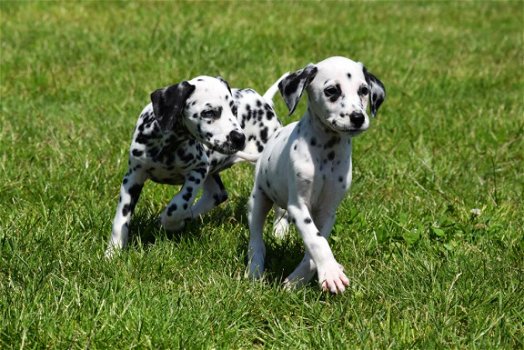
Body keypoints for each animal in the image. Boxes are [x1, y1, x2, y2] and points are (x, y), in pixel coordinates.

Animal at [105, 76, 282, 258]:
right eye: (209, 113)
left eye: (234, 110)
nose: (240, 138)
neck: (168, 146)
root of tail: (265, 101)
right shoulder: (133, 176)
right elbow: (121, 218)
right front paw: (113, 251)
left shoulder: (198, 171)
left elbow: (178, 205)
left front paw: (171, 223)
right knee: (216, 194)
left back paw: (279, 233)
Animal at [246, 56, 384, 292]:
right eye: (331, 91)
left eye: (364, 90)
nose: (358, 117)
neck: (327, 153)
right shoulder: (299, 205)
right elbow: (316, 240)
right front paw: (330, 272)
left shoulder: (328, 211)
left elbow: (315, 248)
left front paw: (297, 280)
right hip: (258, 199)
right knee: (256, 238)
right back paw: (255, 268)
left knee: (279, 215)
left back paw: (280, 233)